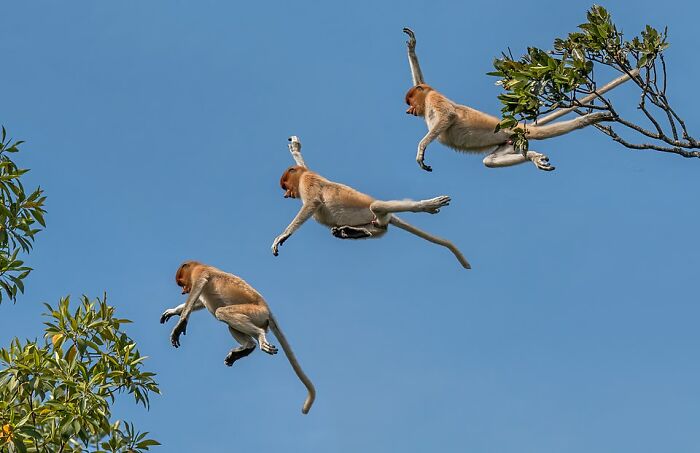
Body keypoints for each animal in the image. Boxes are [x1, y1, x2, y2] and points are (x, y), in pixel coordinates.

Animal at [160, 260, 316, 414]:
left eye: (181, 282)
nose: (183, 290)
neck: (199, 265)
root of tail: (267, 310)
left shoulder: (200, 273)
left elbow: (197, 291)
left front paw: (180, 325)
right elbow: (200, 302)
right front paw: (172, 311)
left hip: (255, 313)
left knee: (221, 312)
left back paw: (259, 337)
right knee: (230, 325)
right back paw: (247, 348)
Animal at [271, 137, 471, 269]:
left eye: (285, 185)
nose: (287, 194)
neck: (301, 177)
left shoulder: (307, 182)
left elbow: (311, 203)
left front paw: (282, 237)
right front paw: (295, 148)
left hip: (373, 210)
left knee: (378, 207)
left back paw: (428, 206)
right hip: (374, 222)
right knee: (380, 228)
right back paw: (350, 232)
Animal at [402, 27, 624, 172]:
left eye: (410, 102)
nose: (409, 111)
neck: (427, 101)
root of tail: (513, 125)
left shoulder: (433, 97)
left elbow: (447, 116)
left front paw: (421, 151)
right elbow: (421, 79)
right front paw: (412, 46)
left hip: (517, 133)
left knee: (544, 133)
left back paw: (590, 119)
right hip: (509, 141)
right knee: (490, 161)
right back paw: (534, 157)